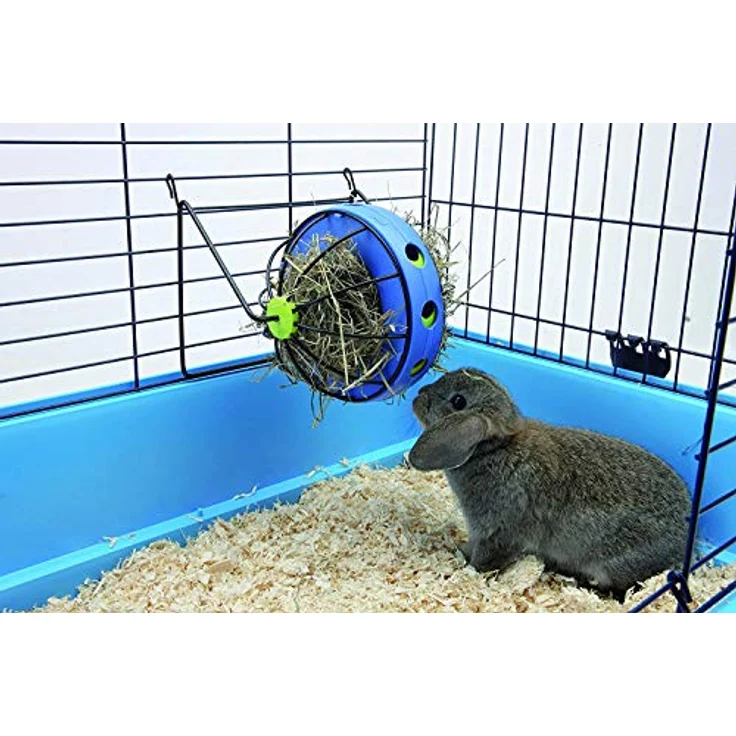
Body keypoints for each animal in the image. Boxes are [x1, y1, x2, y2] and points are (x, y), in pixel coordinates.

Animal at [408, 367, 691, 600]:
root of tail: (684, 543)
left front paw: (468, 569)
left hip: (614, 566)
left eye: (458, 401)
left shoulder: (499, 533)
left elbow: (486, 560)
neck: (494, 449)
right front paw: (459, 550)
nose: (418, 395)